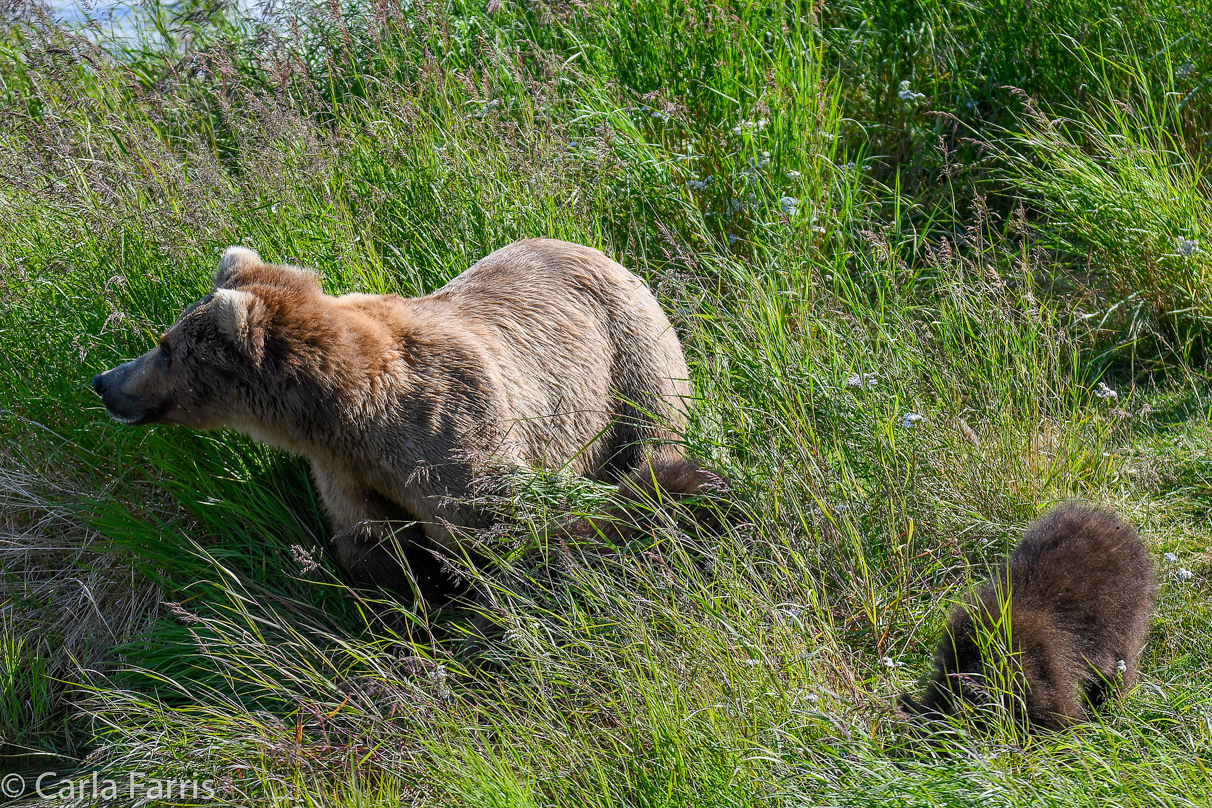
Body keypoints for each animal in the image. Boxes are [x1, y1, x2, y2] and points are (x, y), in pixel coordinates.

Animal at [94, 238, 717, 600]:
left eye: (165, 348)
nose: (104, 383)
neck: (352, 417)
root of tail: (601, 251)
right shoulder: (347, 474)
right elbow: (375, 551)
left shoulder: (455, 438)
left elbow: (513, 534)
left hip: (629, 361)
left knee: (649, 445)